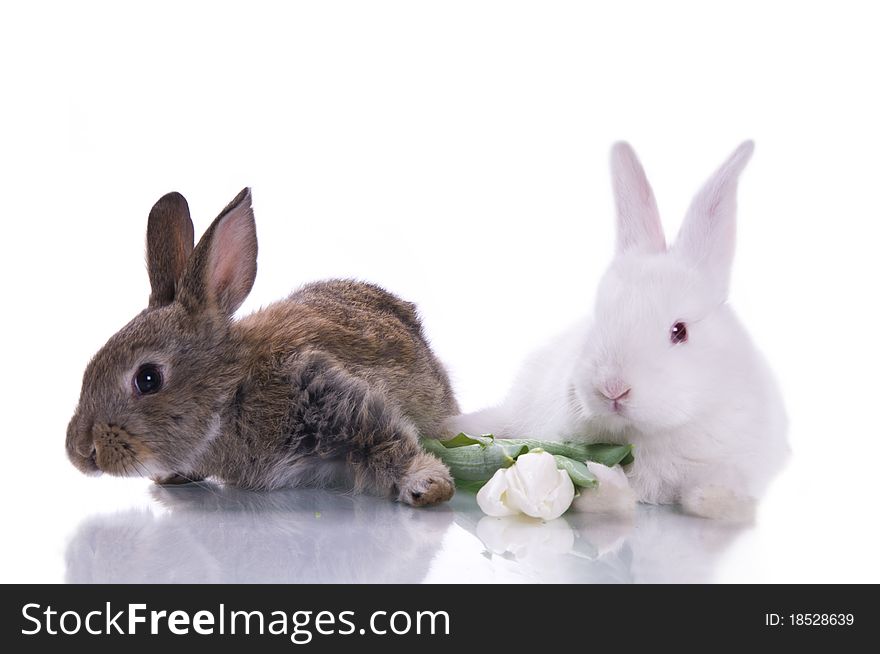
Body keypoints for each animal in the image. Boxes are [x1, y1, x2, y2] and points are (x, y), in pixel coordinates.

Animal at [65, 188, 458, 508]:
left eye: (148, 379)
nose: (80, 452)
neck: (233, 390)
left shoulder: (331, 392)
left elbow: (389, 439)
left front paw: (429, 485)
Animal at [450, 142, 788, 524]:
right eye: (600, 315)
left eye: (680, 331)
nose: (613, 388)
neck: (649, 434)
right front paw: (606, 494)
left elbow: (720, 483)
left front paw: (719, 503)